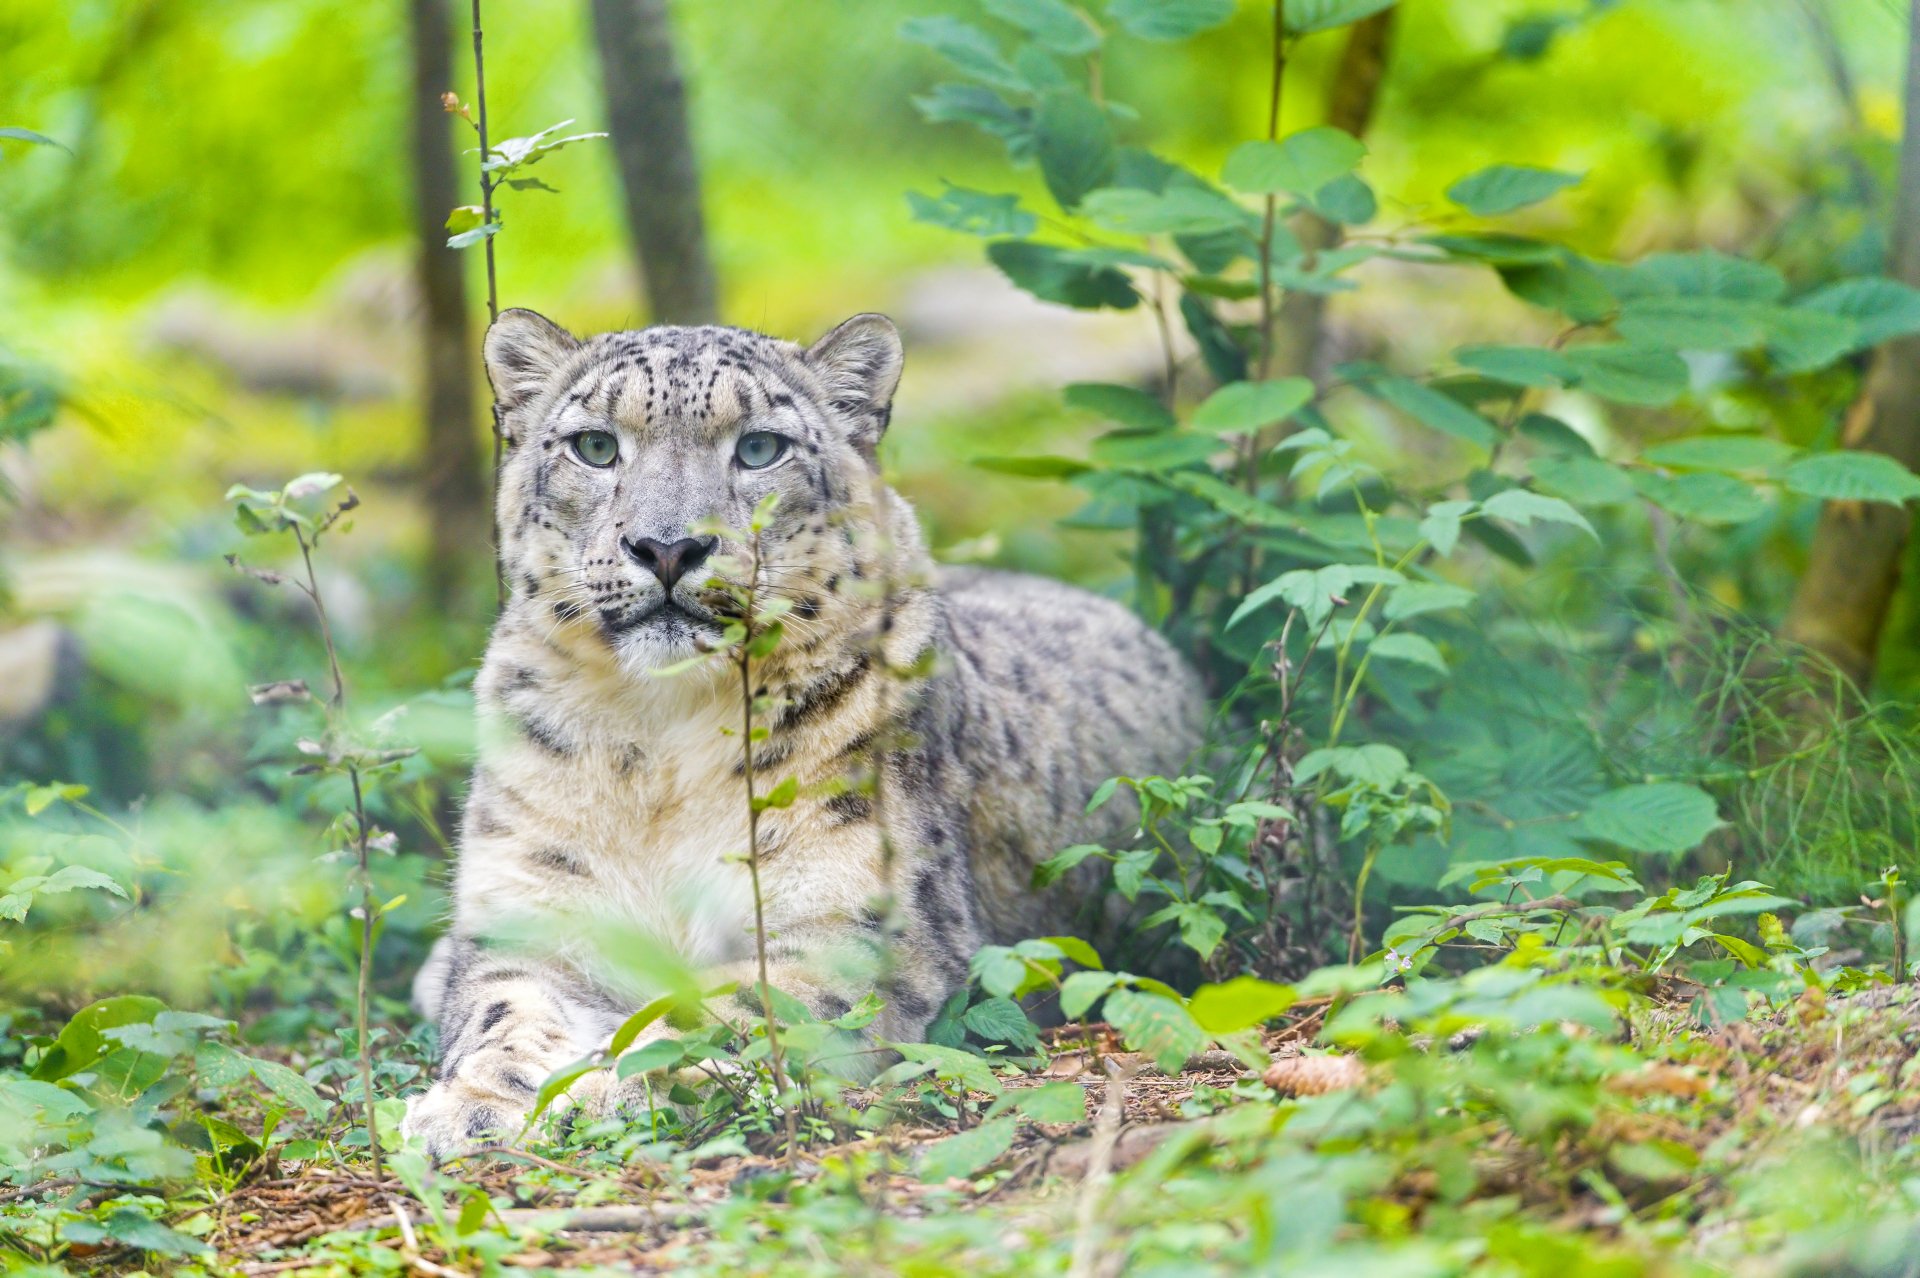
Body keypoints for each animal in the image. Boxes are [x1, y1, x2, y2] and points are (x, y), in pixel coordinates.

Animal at [400, 307, 1206, 1158]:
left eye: (760, 448)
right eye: (594, 445)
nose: (667, 547)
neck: (661, 743)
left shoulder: (850, 930)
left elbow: (719, 1014)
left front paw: (601, 1091)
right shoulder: (536, 915)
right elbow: (503, 1010)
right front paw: (470, 1106)